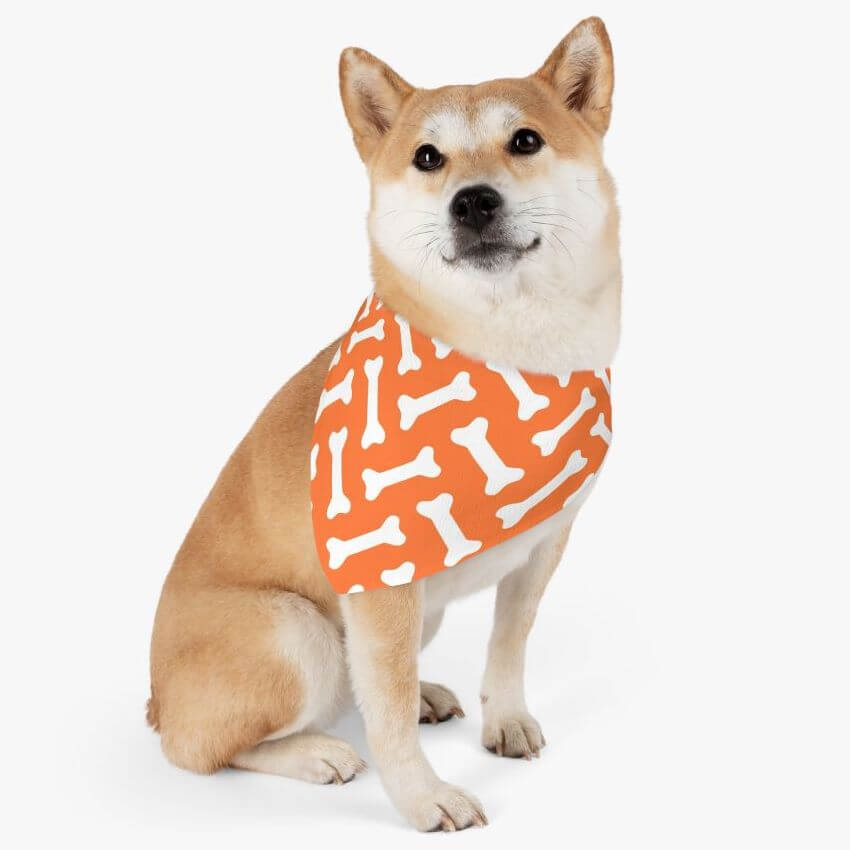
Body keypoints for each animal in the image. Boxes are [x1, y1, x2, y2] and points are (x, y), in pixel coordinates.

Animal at [149, 16, 620, 832]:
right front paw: (423, 797)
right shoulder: (382, 582)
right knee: (205, 748)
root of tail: (152, 698)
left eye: (526, 140)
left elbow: (508, 647)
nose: (472, 201)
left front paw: (504, 720)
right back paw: (314, 752)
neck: (514, 360)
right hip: (297, 631)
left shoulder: (541, 548)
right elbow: (389, 711)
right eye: (427, 157)